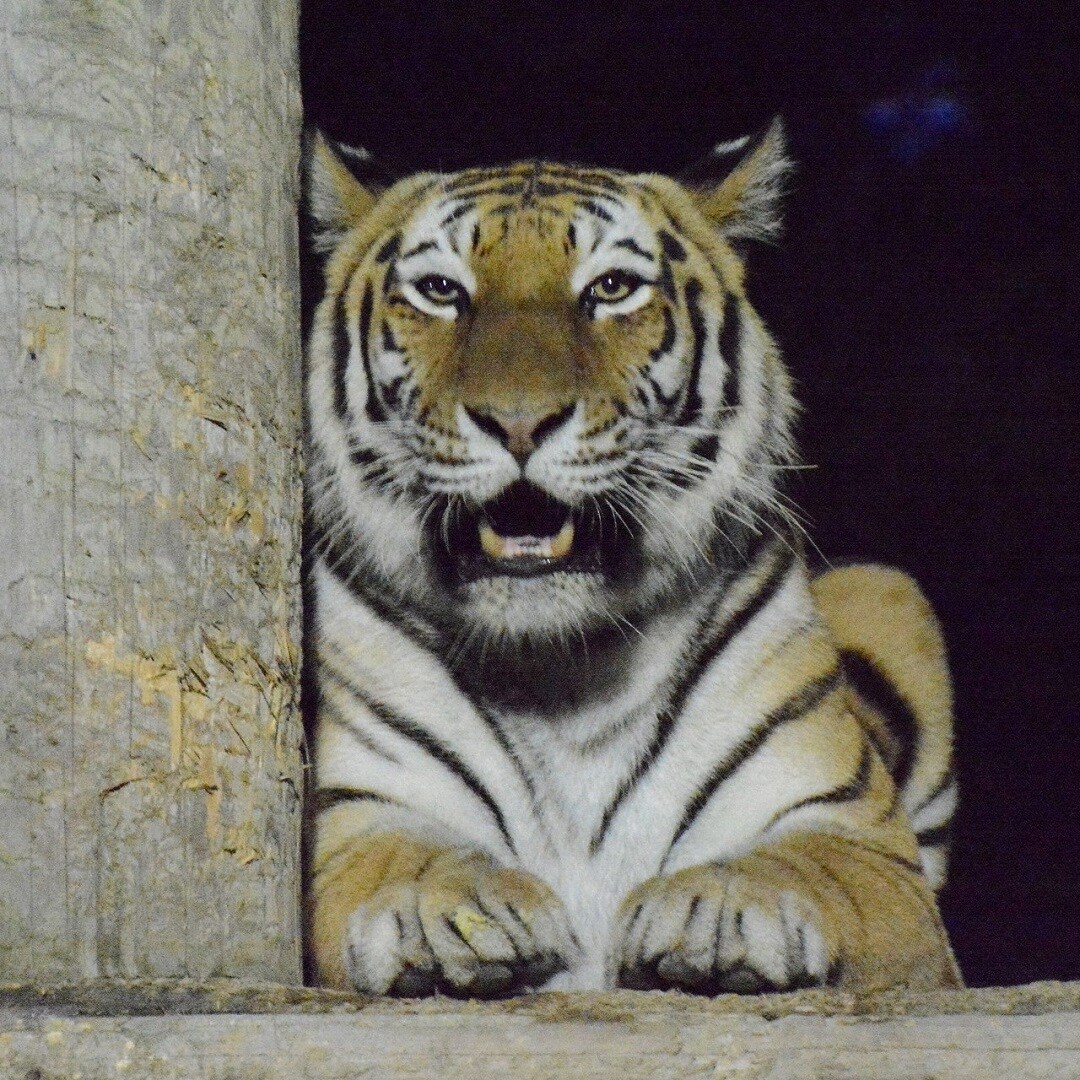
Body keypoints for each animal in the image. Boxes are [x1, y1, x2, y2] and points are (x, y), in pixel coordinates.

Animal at [302, 124, 963, 993]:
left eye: (611, 288)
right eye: (442, 291)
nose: (519, 422)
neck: (561, 670)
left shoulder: (865, 844)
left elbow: (812, 869)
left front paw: (719, 905)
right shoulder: (353, 813)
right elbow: (397, 859)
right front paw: (442, 909)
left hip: (889, 587)